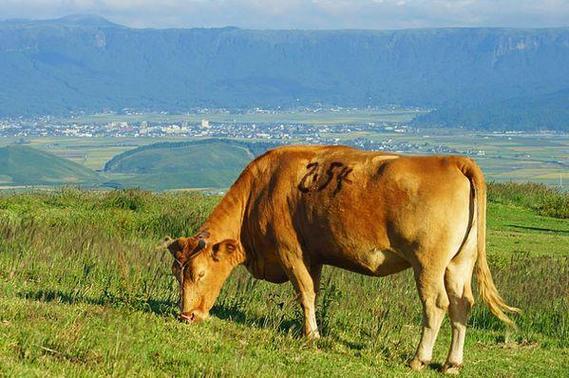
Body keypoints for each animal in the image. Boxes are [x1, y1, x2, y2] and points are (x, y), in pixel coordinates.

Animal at [165, 145, 520, 372]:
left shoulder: (291, 251)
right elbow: (313, 292)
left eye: (198, 273)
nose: (186, 316)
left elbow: (304, 293)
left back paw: (419, 359)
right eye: (176, 273)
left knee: (436, 305)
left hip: (428, 262)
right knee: (462, 304)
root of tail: (452, 161)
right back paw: (451, 363)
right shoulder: (314, 255)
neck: (261, 190)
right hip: (459, 262)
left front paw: (312, 336)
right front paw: (308, 330)